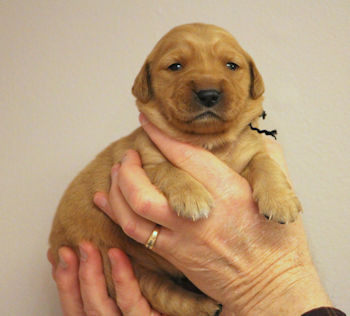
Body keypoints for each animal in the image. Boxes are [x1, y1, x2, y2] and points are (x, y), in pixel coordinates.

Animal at [50, 23, 304, 314]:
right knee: (164, 295)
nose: (208, 94)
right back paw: (204, 306)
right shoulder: (140, 160)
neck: (209, 143)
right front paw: (192, 198)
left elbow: (265, 163)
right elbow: (168, 169)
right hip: (115, 264)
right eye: (176, 66)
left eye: (231, 65)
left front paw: (281, 201)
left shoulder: (250, 151)